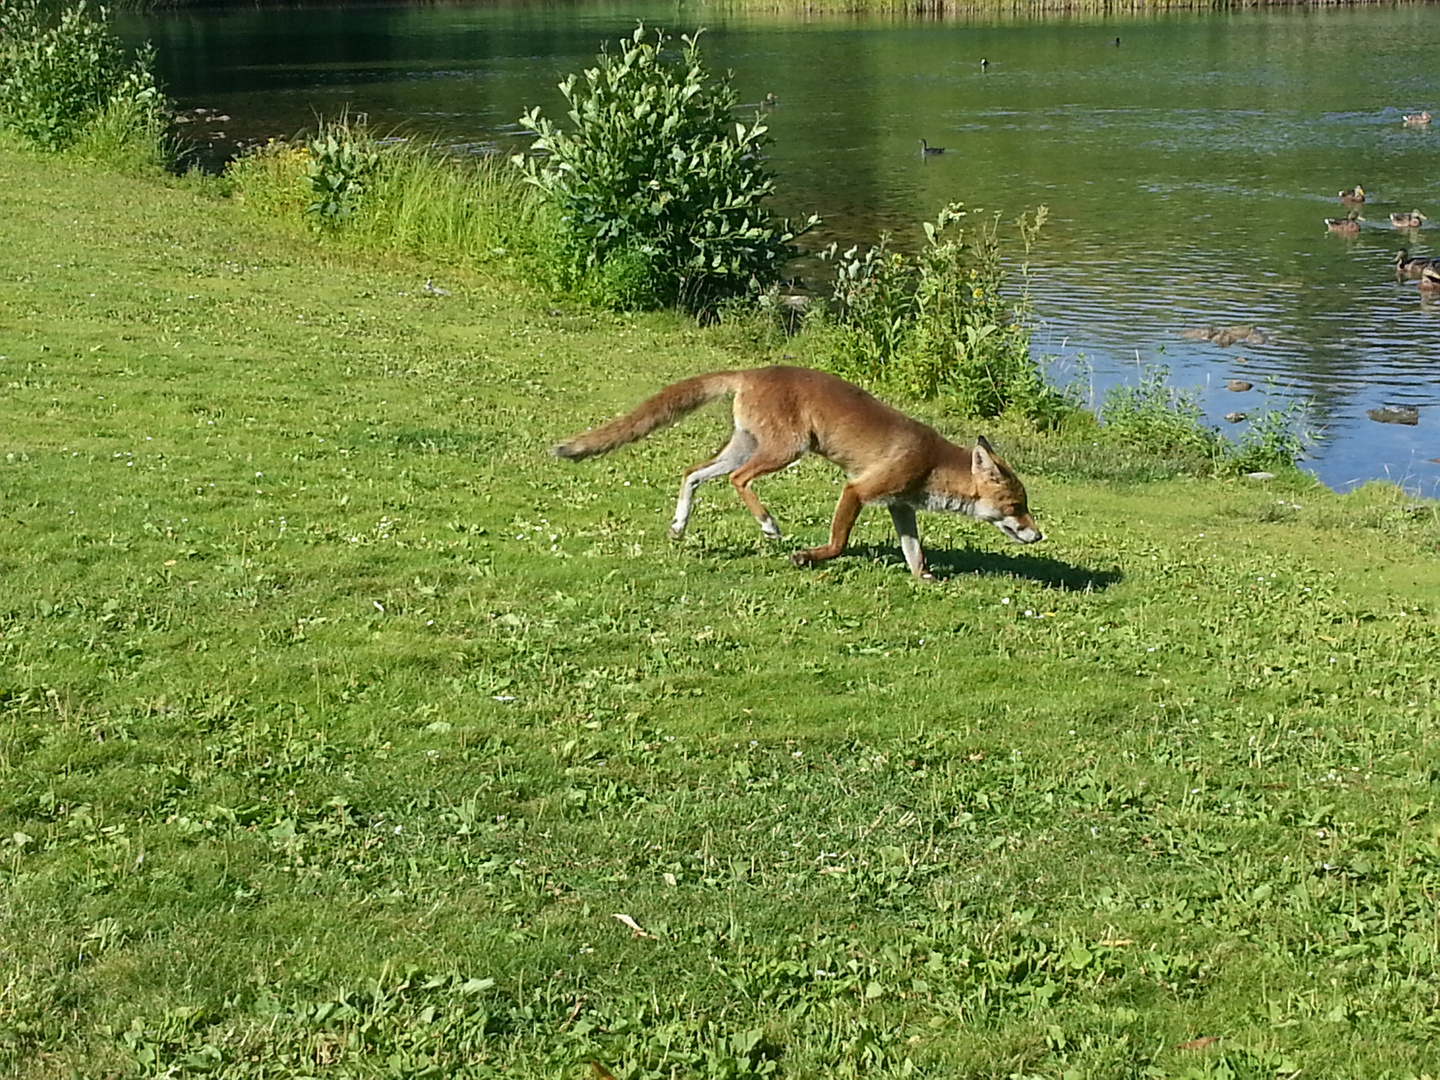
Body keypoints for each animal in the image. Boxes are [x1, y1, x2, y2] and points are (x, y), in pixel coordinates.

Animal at [547, 365, 1036, 584]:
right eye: (1016, 507)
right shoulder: (858, 489)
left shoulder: (900, 506)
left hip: (744, 447)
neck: (933, 461)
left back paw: (679, 525)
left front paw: (926, 580)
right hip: (785, 451)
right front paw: (806, 557)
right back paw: (768, 525)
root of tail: (750, 372)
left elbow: (915, 553)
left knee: (693, 472)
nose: (1039, 534)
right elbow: (839, 544)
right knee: (738, 481)